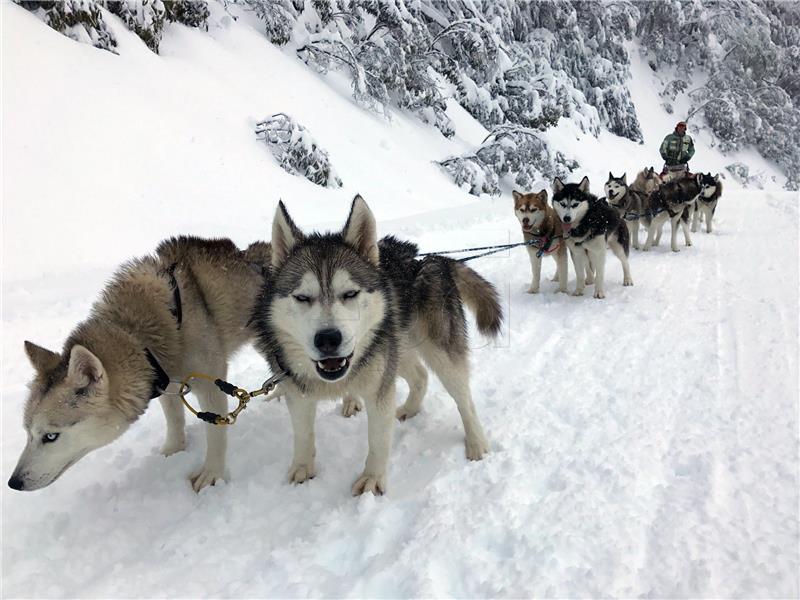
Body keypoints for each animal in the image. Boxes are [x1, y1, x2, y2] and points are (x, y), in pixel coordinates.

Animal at [7, 236, 268, 492]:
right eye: (27, 432)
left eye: (50, 436)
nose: (13, 482)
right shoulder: (166, 381)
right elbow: (174, 420)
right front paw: (173, 451)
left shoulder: (210, 386)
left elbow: (216, 433)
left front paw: (212, 474)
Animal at [253, 197, 500, 496]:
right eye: (302, 297)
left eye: (350, 293)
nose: (328, 339)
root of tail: (429, 259)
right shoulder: (297, 391)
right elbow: (303, 434)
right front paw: (302, 469)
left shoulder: (378, 390)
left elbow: (378, 440)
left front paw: (372, 479)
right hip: (396, 352)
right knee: (420, 375)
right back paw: (410, 408)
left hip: (439, 354)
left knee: (463, 399)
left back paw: (476, 443)